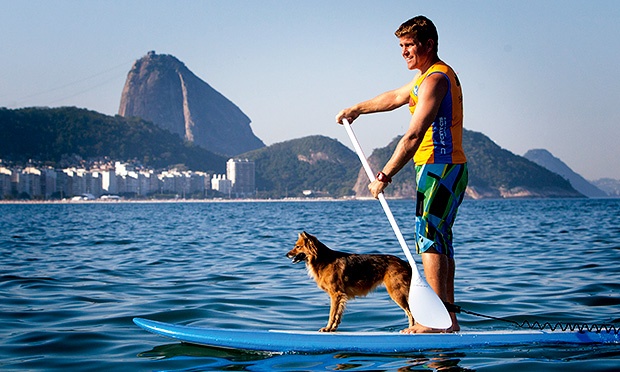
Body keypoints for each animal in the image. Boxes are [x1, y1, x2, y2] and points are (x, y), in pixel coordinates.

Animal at [284, 232, 412, 332]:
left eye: (298, 247)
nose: (286, 255)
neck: (322, 259)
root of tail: (404, 262)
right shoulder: (340, 296)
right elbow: (338, 315)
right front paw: (332, 328)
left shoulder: (336, 294)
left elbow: (332, 314)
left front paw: (327, 328)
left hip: (397, 293)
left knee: (410, 313)